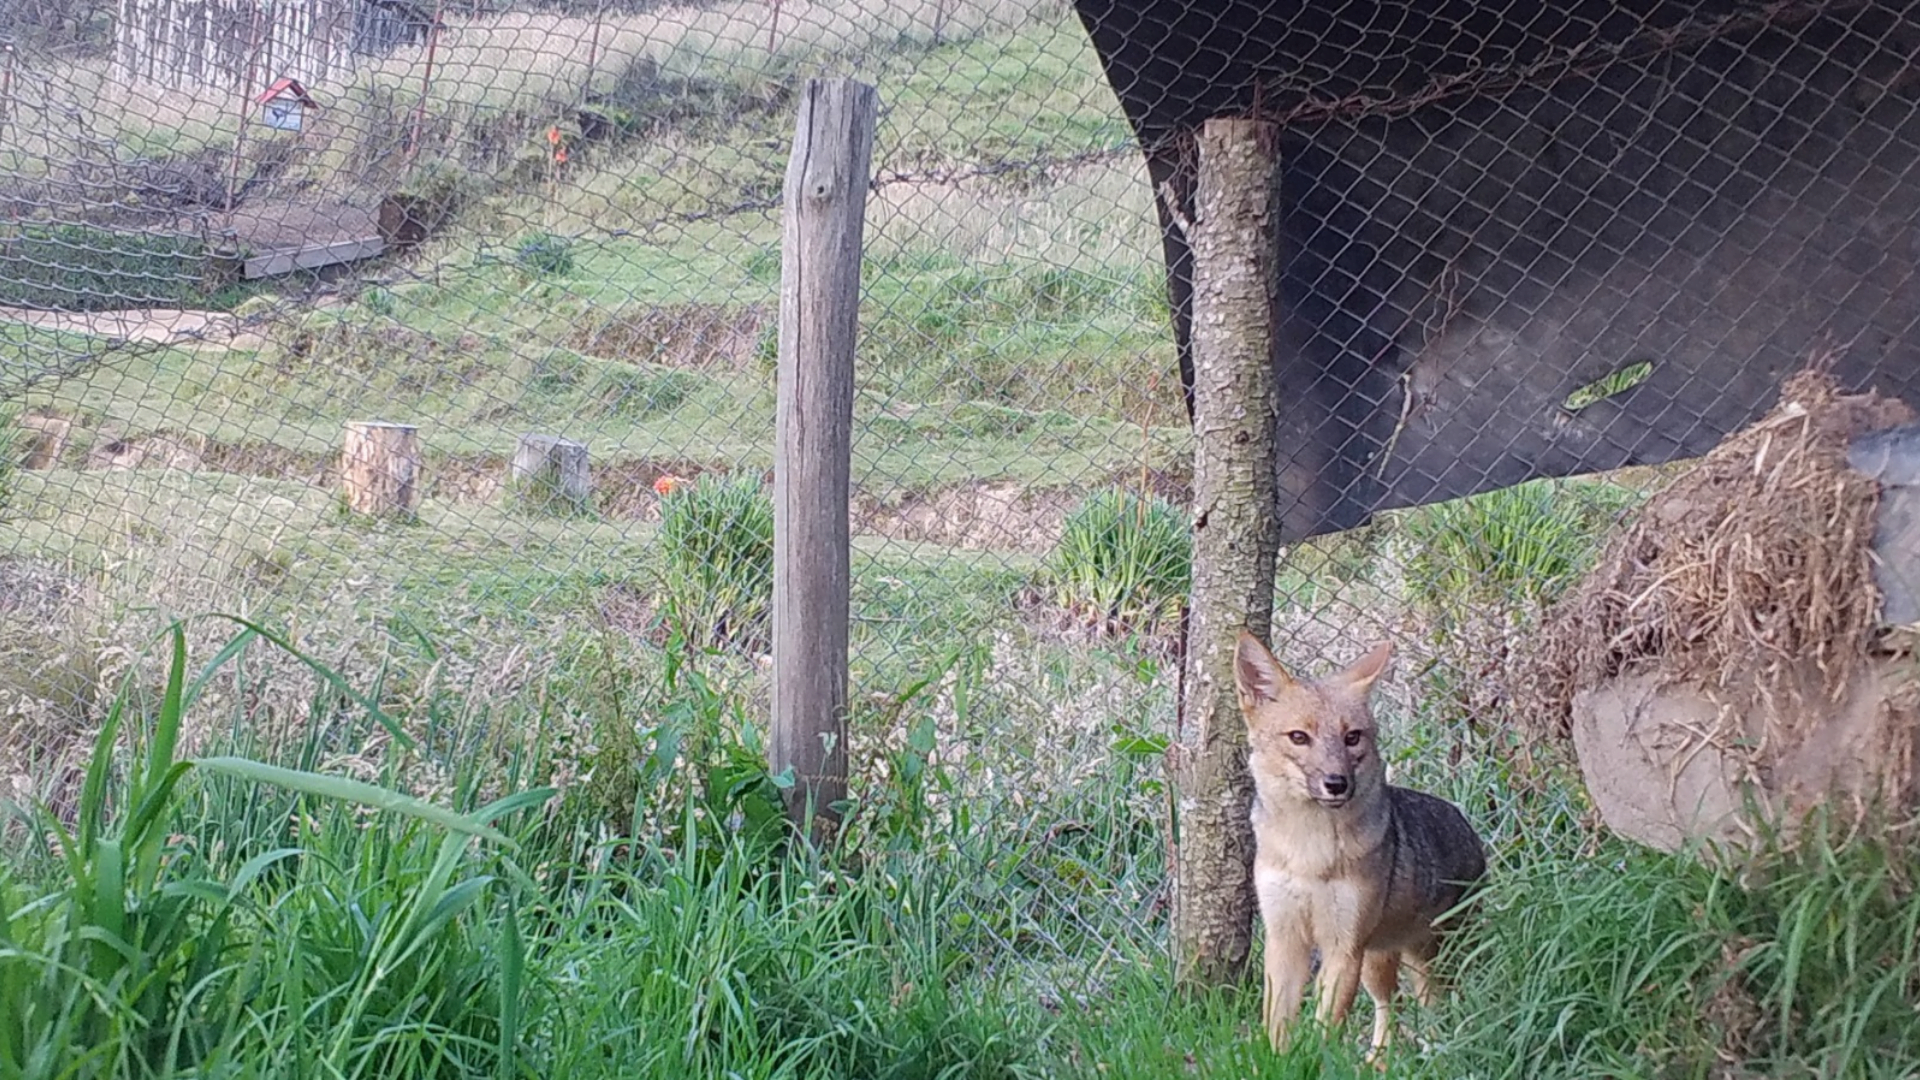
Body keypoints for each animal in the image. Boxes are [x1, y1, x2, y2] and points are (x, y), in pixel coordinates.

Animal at [1234, 630, 1487, 1063]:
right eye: (1299, 737)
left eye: (1352, 737)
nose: (1337, 783)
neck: (1309, 854)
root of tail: (1464, 820)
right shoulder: (1285, 939)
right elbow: (1278, 1026)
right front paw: (1278, 1061)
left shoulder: (1343, 946)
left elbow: (1323, 1027)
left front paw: (1313, 1062)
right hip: (1379, 963)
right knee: (1392, 1004)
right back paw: (1377, 1063)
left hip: (1431, 959)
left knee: (1436, 1007)